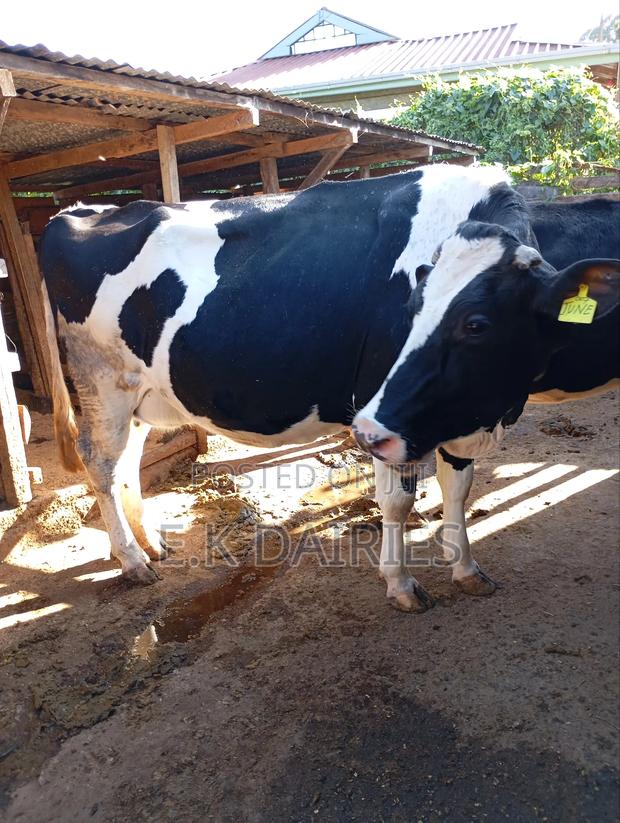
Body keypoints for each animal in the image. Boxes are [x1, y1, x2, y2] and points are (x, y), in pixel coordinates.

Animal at [39, 164, 618, 613]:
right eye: (411, 308)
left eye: (476, 324)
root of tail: (80, 211)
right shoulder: (388, 412)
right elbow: (398, 502)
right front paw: (402, 585)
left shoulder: (455, 407)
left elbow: (459, 487)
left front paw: (467, 570)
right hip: (101, 379)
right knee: (101, 462)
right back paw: (133, 560)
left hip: (142, 393)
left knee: (127, 461)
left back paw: (152, 542)